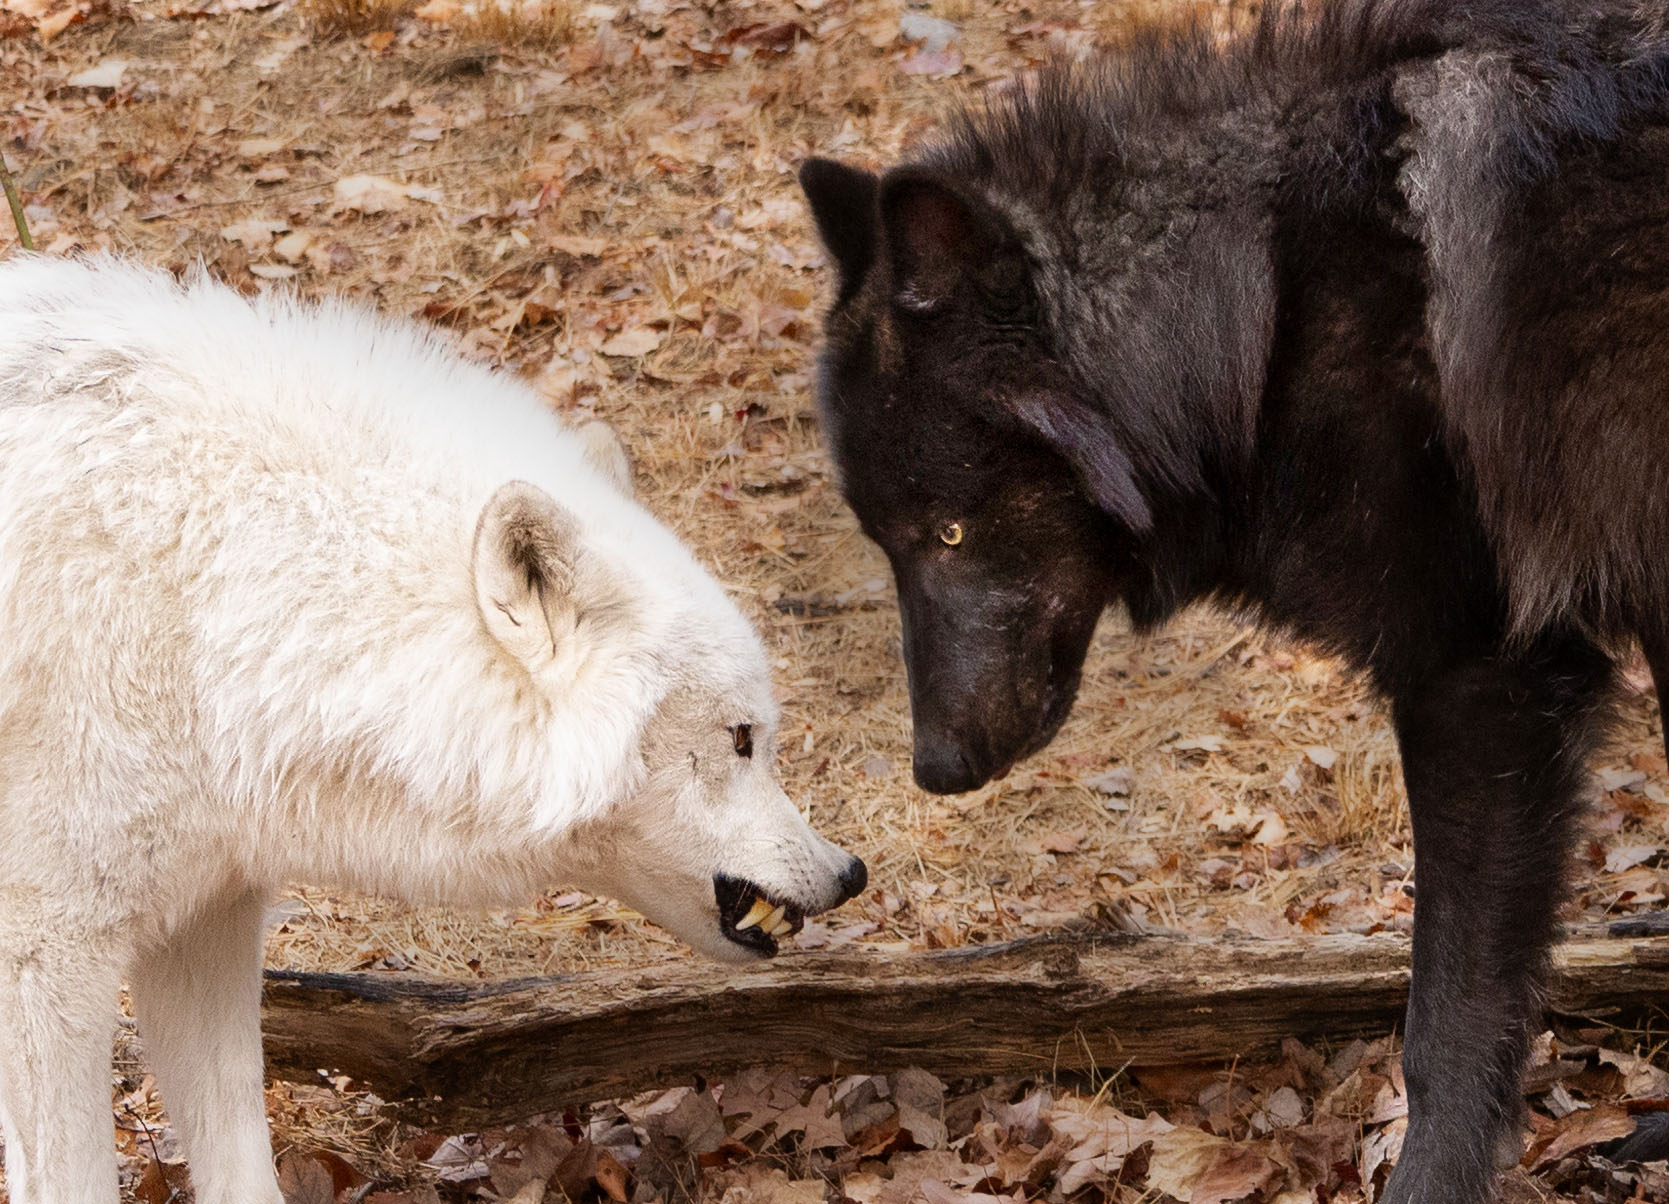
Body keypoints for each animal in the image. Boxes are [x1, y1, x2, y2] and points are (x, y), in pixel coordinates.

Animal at [0, 255, 867, 1202]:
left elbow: (240, 1157)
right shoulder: (43, 962)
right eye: (741, 738)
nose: (849, 872)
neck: (214, 597)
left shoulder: (206, 919)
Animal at [794, 4, 1669, 1195]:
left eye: (952, 532)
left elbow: (1445, 1019)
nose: (935, 768)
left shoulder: (1481, 679)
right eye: (884, 542)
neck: (1265, 315)